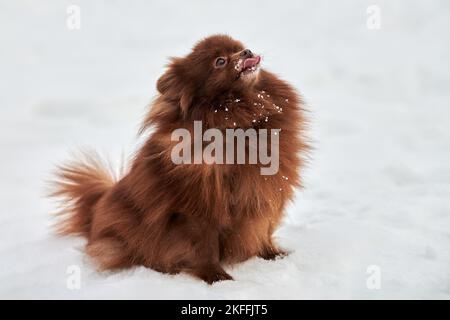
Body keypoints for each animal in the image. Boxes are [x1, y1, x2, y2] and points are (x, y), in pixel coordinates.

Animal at [51, 35, 306, 284]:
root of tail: (94, 214)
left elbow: (262, 229)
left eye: (240, 46)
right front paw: (216, 277)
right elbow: (205, 247)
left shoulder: (261, 195)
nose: (247, 52)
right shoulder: (197, 210)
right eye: (220, 61)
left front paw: (273, 255)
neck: (241, 119)